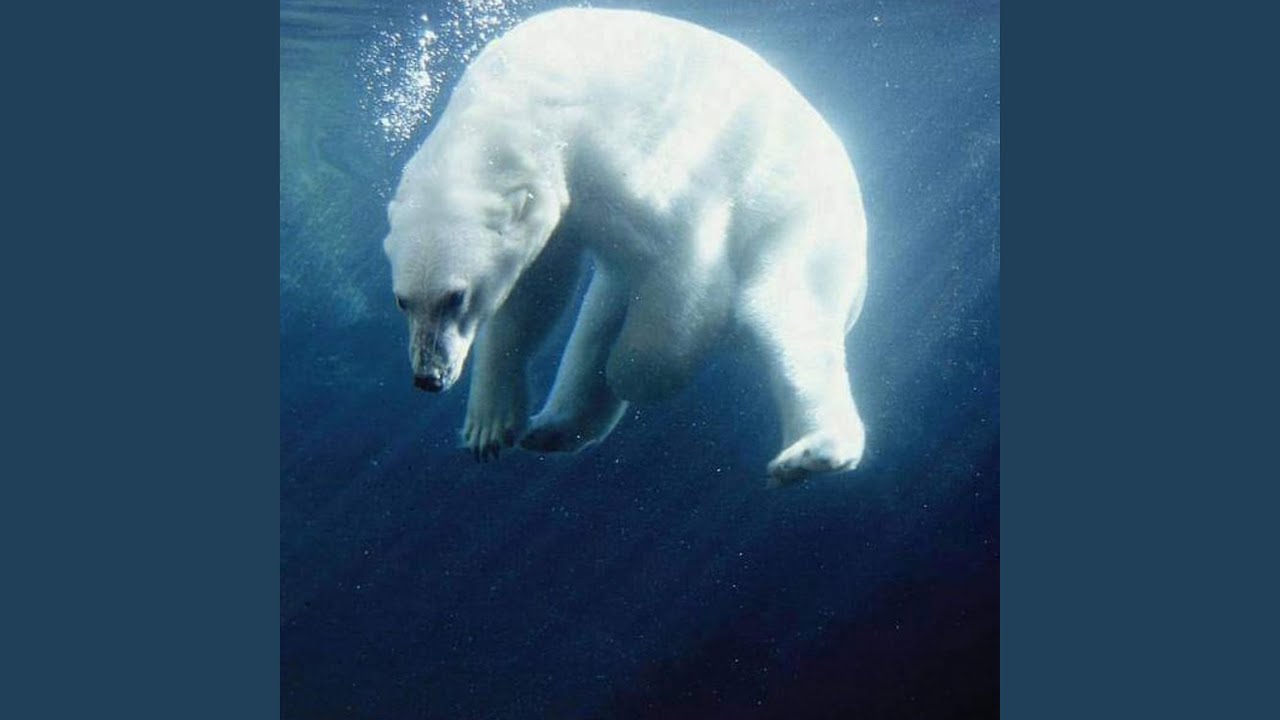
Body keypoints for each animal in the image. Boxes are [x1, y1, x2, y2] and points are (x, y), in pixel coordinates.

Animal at [383, 8, 868, 483]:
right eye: (403, 301)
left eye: (455, 296)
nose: (428, 376)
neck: (522, 91)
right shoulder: (556, 197)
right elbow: (536, 294)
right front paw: (489, 424)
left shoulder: (619, 149)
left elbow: (690, 266)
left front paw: (631, 373)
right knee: (599, 312)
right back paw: (553, 428)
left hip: (804, 228)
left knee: (785, 311)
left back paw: (811, 453)